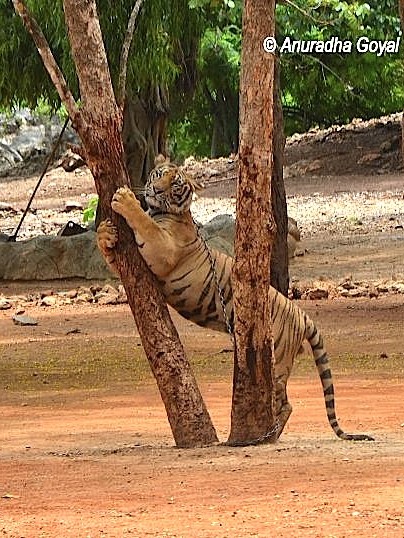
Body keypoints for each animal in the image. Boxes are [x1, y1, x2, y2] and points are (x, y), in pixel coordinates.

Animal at [97, 155, 372, 440]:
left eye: (175, 184)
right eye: (159, 174)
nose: (157, 191)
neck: (167, 211)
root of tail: (302, 314)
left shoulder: (163, 249)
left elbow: (145, 224)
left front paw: (124, 199)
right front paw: (105, 232)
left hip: (277, 359)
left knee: (283, 403)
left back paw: (268, 435)